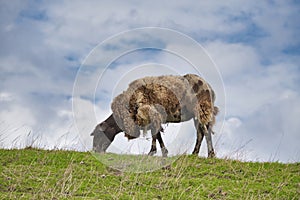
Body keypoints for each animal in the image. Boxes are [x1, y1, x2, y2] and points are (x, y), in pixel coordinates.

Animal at [89, 74, 218, 158]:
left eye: (99, 134)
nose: (95, 150)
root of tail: (209, 87)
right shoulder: (153, 117)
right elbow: (156, 134)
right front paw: (159, 152)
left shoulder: (151, 114)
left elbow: (155, 134)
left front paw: (156, 152)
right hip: (197, 114)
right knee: (200, 133)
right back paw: (194, 153)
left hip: (201, 109)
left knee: (205, 131)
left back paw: (211, 154)